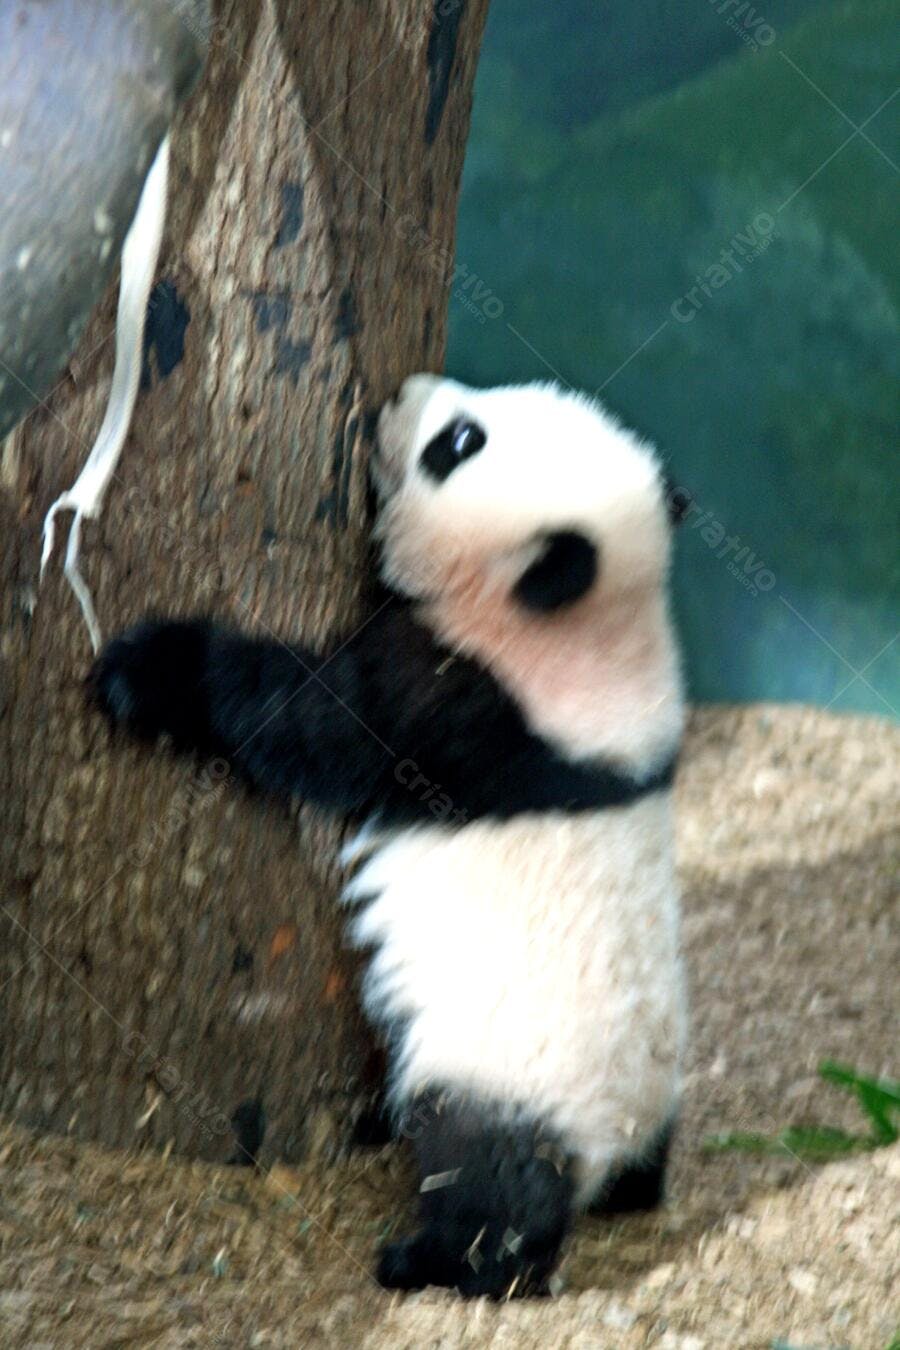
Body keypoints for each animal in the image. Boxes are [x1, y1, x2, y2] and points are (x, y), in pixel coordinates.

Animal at [93, 373, 688, 1299]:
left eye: (459, 442)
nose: (407, 390)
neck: (597, 640)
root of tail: (615, 1135)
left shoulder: (457, 711)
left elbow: (308, 723)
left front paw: (146, 668)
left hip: (510, 1073)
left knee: (492, 1180)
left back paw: (435, 1261)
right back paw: (635, 1191)